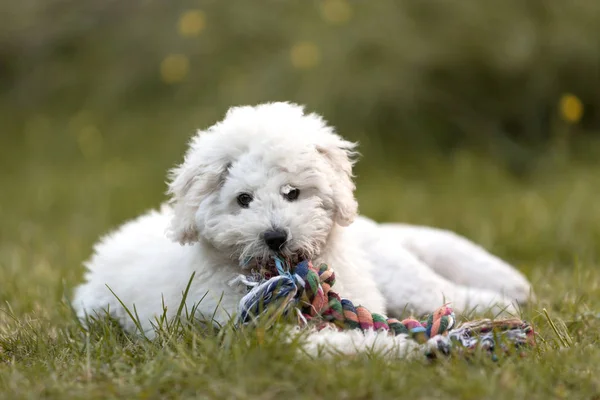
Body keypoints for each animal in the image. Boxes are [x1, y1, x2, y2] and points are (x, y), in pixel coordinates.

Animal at [72, 101, 532, 354]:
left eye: (292, 192)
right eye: (243, 200)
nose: (276, 236)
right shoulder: (267, 329)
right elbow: (344, 342)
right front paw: (403, 348)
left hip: (393, 268)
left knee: (435, 290)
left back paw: (498, 304)